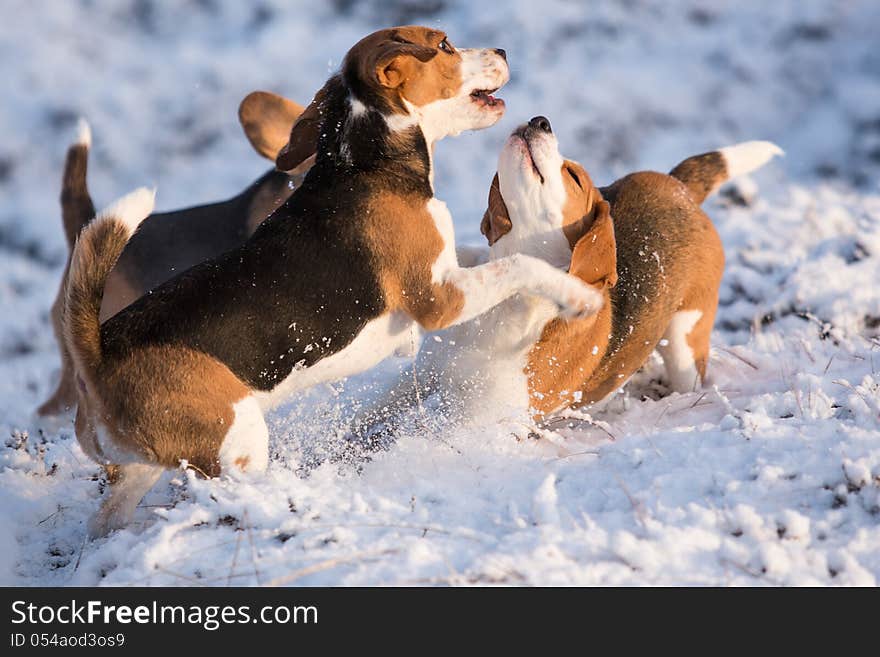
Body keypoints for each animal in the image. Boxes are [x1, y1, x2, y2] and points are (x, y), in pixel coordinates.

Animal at [69, 28, 600, 536]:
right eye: (444, 44)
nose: (504, 50)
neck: (364, 162)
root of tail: (98, 357)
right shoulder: (439, 298)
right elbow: (520, 266)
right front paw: (579, 297)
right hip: (239, 443)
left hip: (142, 470)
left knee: (104, 522)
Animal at [354, 117, 780, 434]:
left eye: (573, 177)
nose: (539, 120)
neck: (511, 299)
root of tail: (680, 188)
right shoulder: (425, 374)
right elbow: (366, 410)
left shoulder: (482, 426)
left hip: (684, 343)